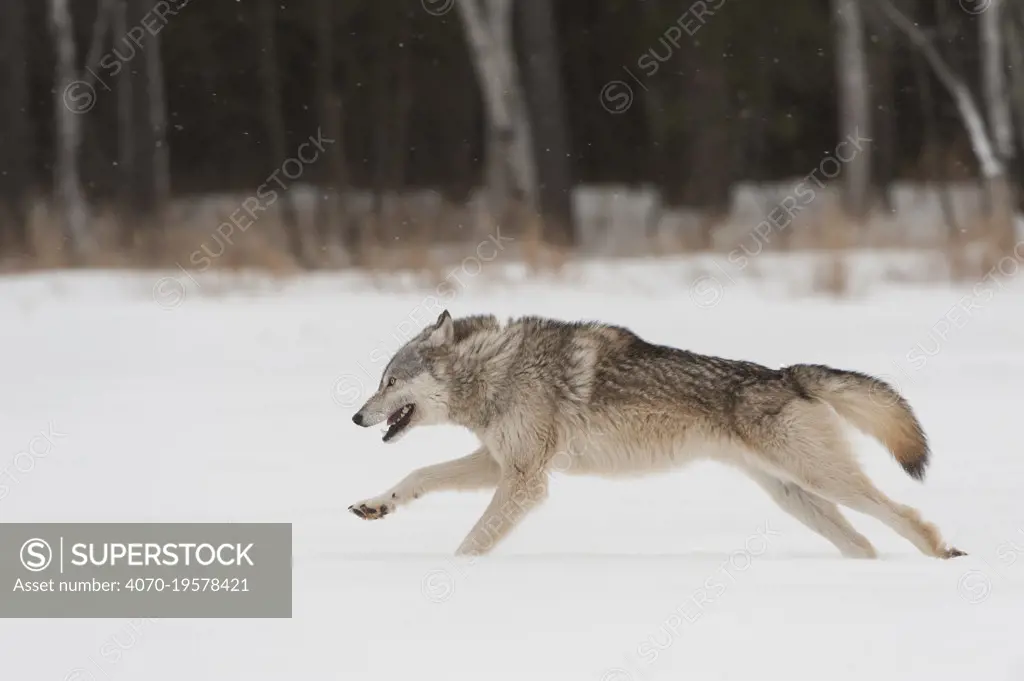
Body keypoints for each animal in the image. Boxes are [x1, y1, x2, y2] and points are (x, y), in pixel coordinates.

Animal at [348, 307, 962, 557]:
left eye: (389, 381)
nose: (355, 417)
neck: (497, 370)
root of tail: (788, 374)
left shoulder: (525, 480)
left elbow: (472, 542)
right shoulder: (501, 463)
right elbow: (419, 474)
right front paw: (375, 506)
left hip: (822, 481)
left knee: (902, 514)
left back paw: (943, 554)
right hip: (796, 497)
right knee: (863, 545)